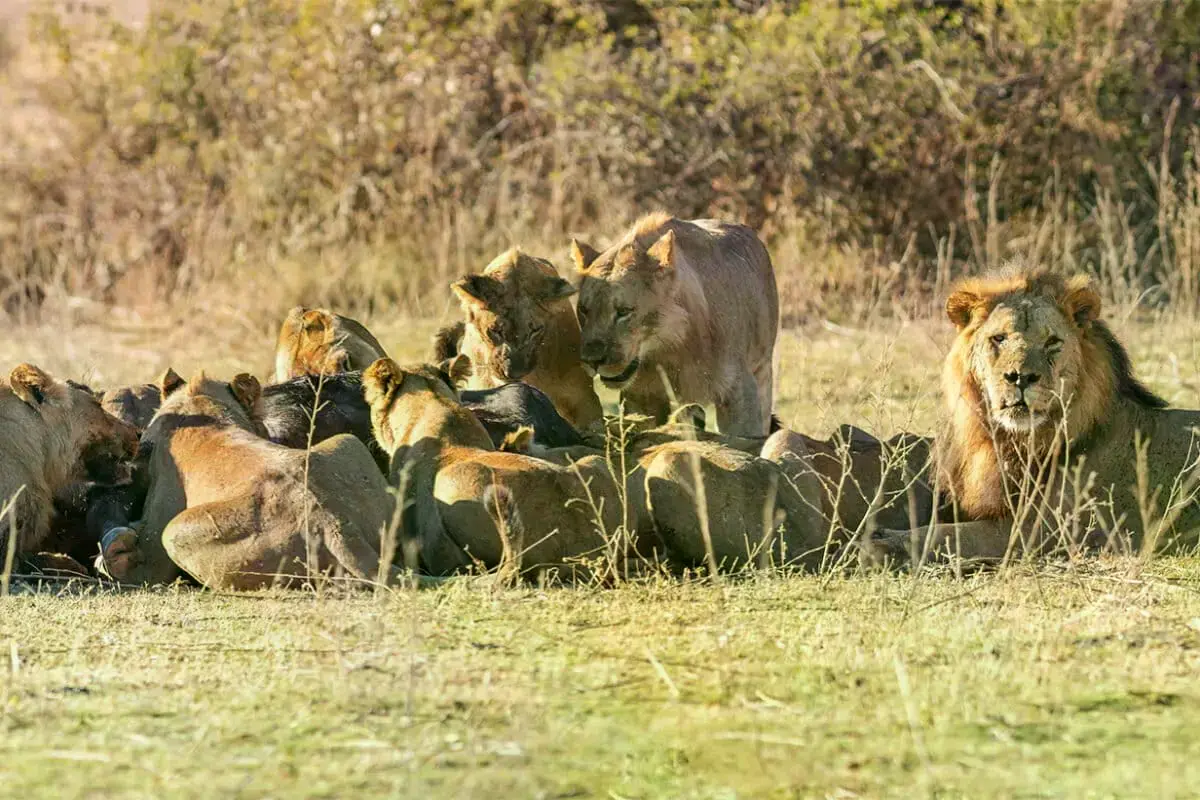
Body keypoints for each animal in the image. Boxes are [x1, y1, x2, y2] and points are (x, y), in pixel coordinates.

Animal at [571, 212, 779, 436]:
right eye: (583, 310)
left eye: (624, 311)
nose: (592, 361)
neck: (671, 349)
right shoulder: (641, 398)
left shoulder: (740, 391)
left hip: (763, 371)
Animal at [870, 265, 1200, 563]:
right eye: (999, 338)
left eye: (1052, 342)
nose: (1020, 377)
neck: (1013, 441)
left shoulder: (1046, 529)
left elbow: (949, 534)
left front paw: (881, 544)